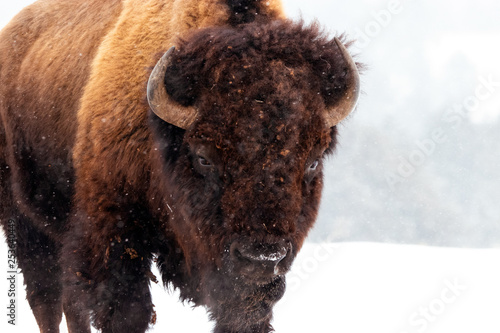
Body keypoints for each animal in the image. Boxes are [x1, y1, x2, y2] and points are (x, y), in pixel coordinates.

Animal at [0, 0, 360, 332]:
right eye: (203, 157)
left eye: (313, 161)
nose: (261, 256)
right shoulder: (113, 237)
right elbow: (126, 311)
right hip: (25, 224)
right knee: (46, 298)